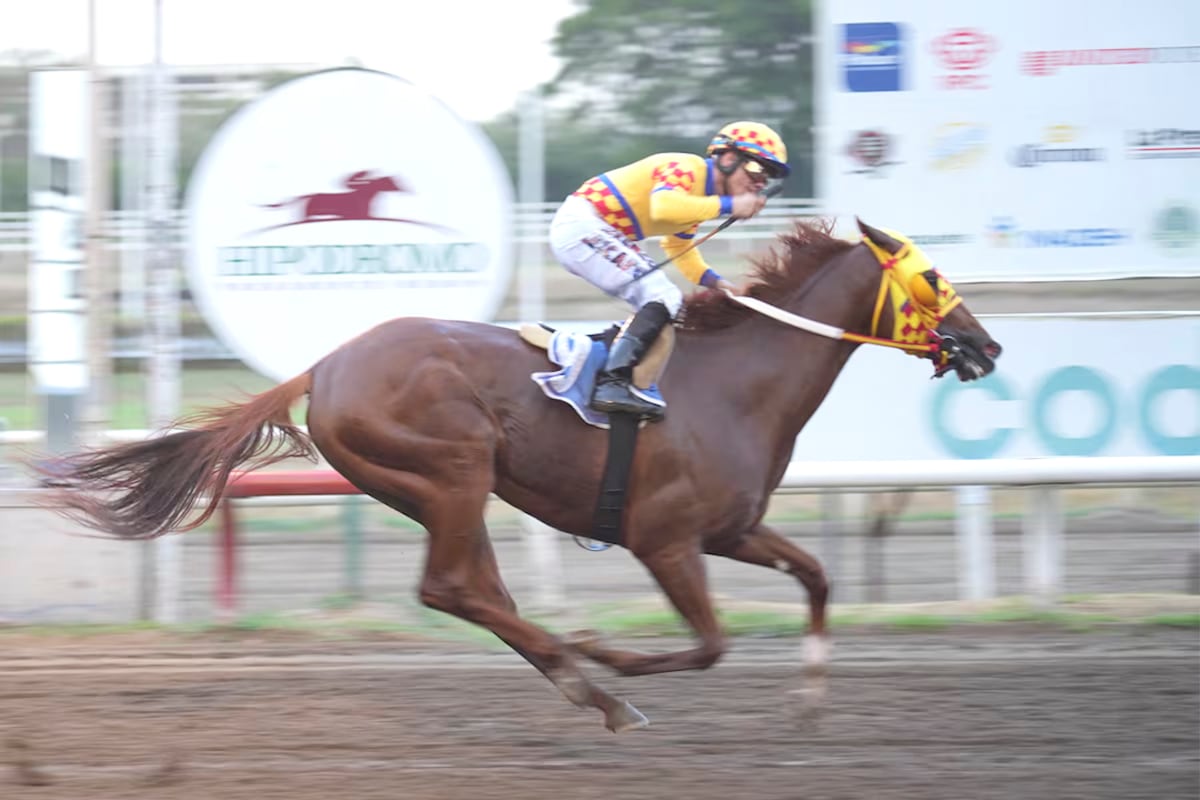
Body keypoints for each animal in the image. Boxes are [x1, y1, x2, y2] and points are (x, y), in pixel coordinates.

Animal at [46, 219, 998, 734]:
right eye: (932, 276)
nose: (986, 345)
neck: (734, 382)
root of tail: (324, 365)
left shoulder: (731, 529)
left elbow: (818, 576)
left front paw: (807, 702)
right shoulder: (666, 540)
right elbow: (710, 644)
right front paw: (609, 650)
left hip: (437, 489)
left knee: (475, 590)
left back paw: (583, 685)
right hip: (454, 466)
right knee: (448, 588)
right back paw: (587, 675)